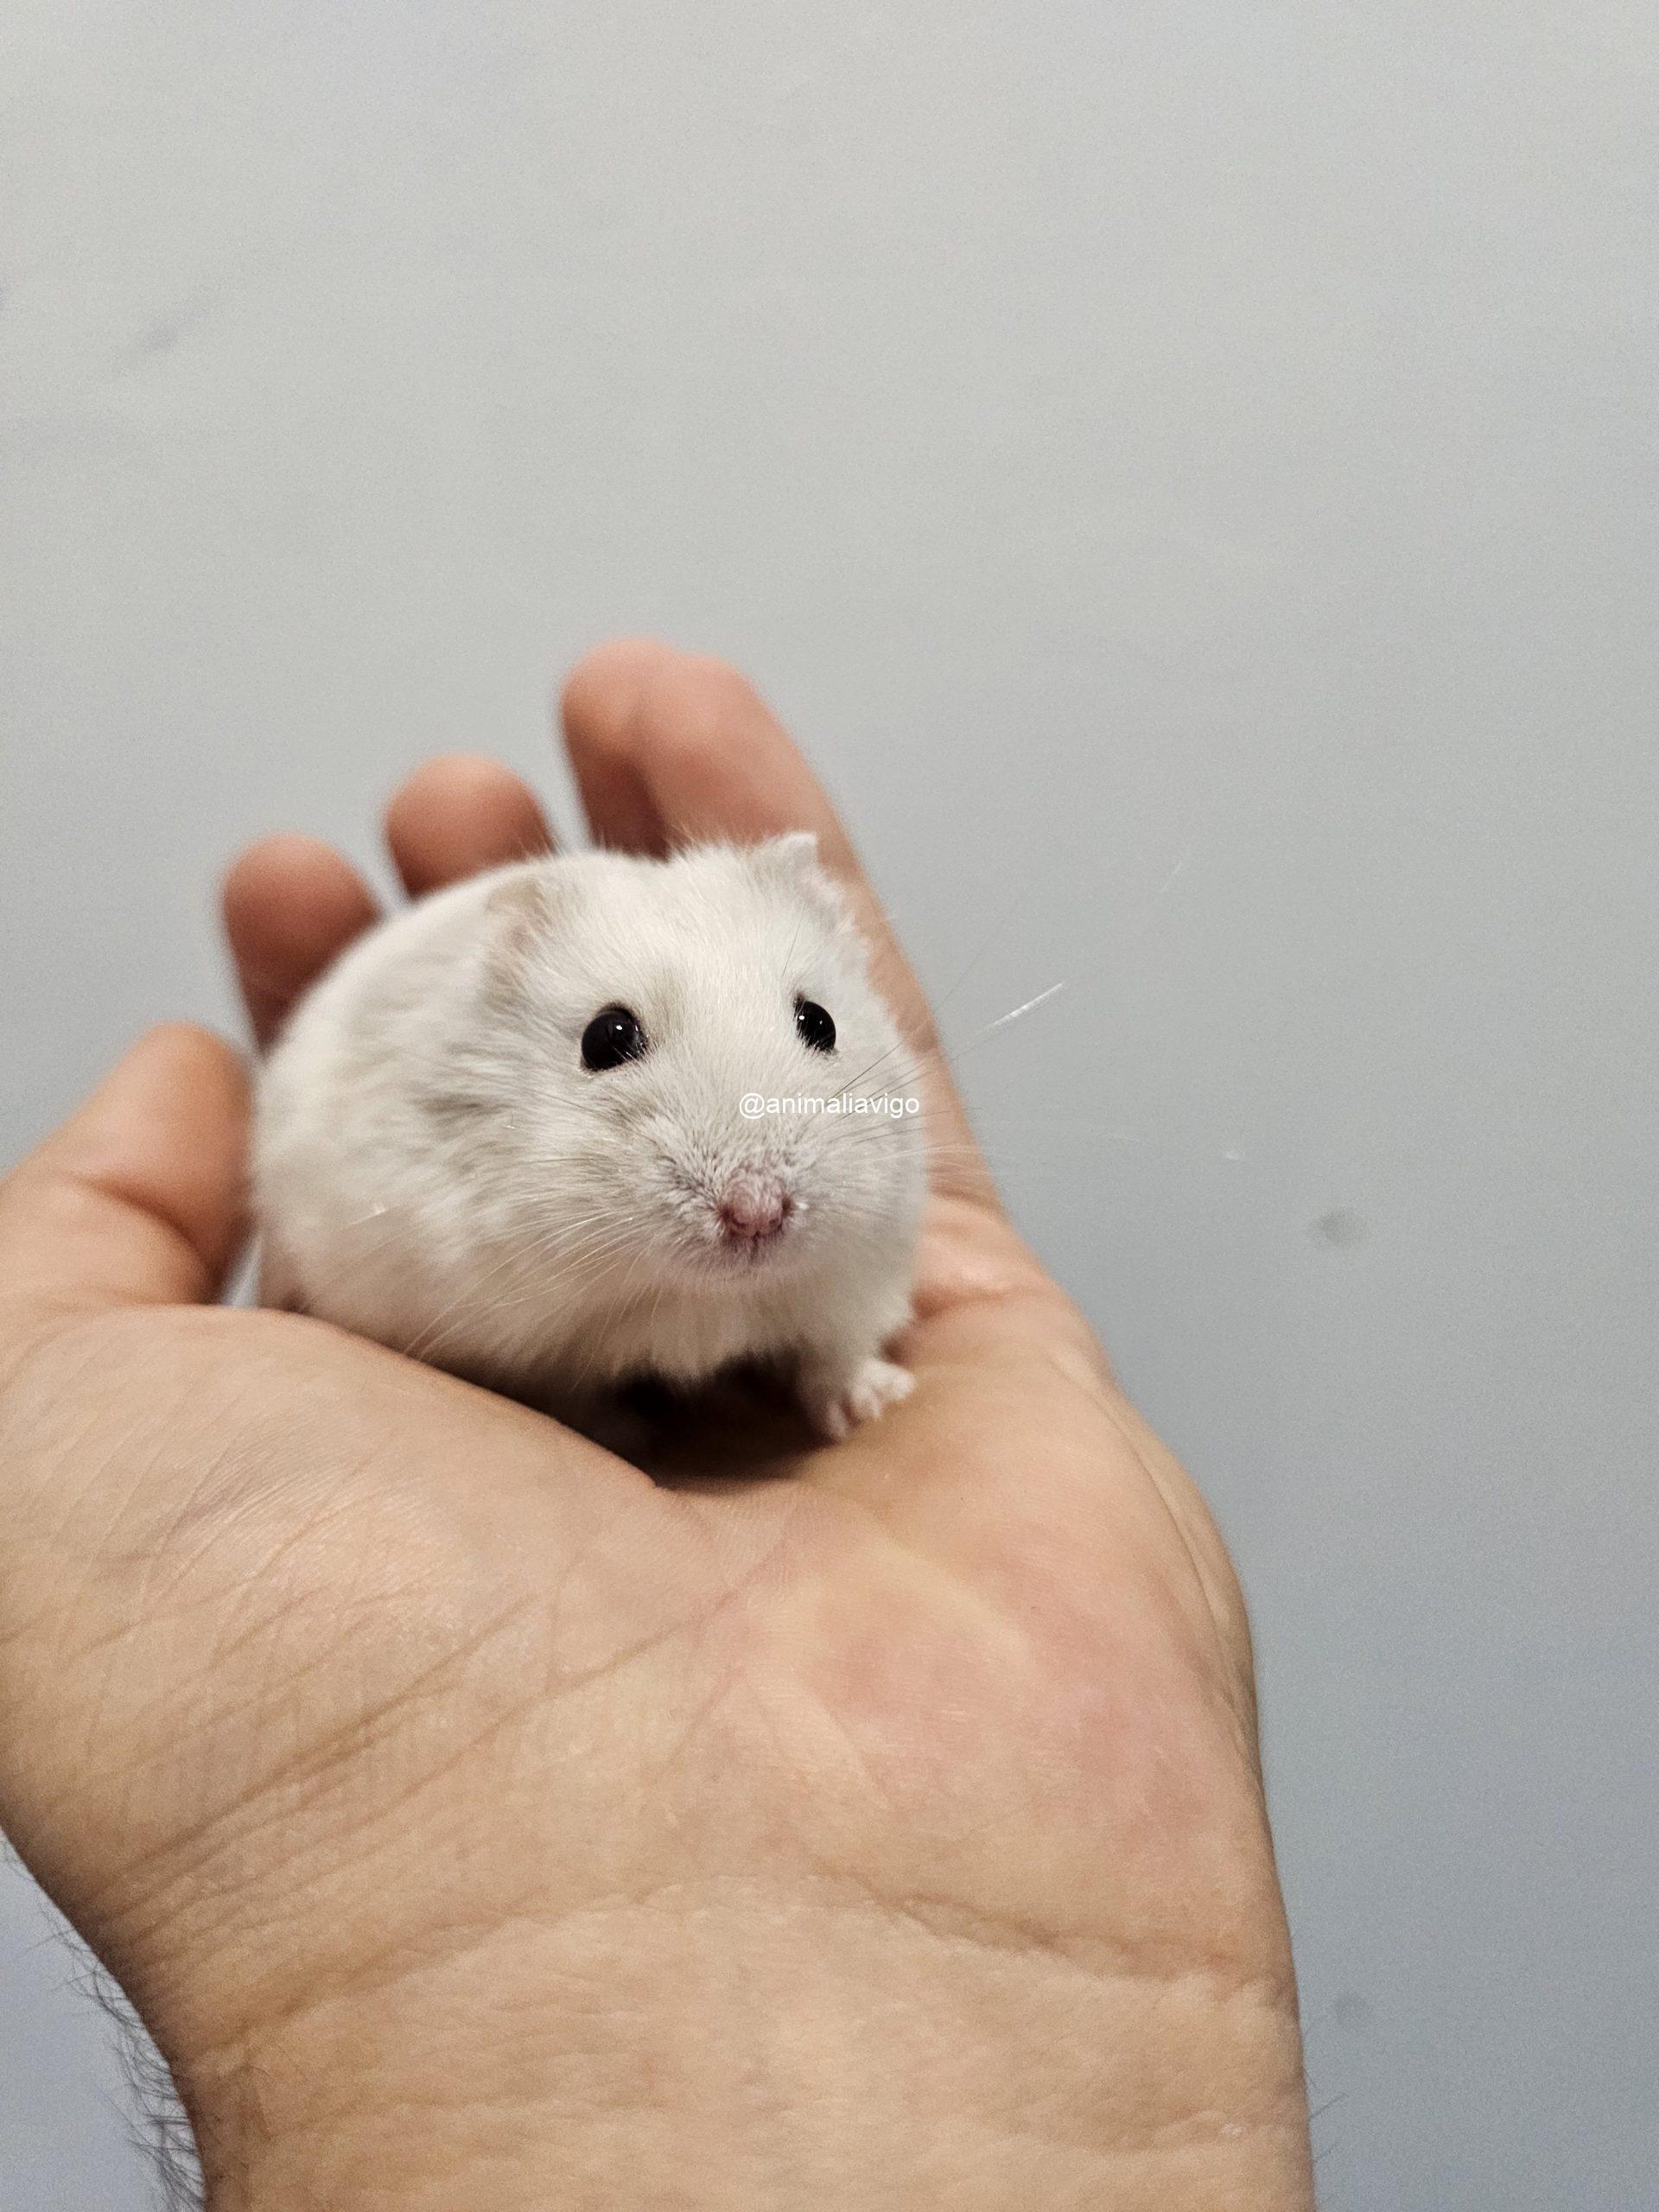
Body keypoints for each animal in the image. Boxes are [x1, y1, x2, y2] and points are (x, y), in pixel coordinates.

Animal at [253, 834, 926, 1441]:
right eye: (605, 1037)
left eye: (820, 1021)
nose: (756, 1213)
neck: (705, 1297)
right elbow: (570, 1396)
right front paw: (624, 1436)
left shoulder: (860, 1275)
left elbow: (836, 1352)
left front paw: (877, 1404)